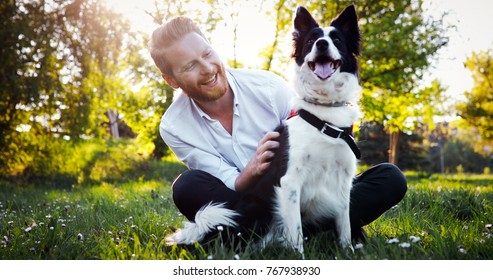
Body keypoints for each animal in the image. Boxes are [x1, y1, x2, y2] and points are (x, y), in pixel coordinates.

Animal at [165, 4, 362, 255]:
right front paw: (299, 258)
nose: (321, 44)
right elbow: (296, 233)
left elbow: (344, 225)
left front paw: (348, 251)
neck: (323, 114)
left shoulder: (343, 181)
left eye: (336, 39)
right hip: (255, 210)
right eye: (311, 40)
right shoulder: (290, 181)